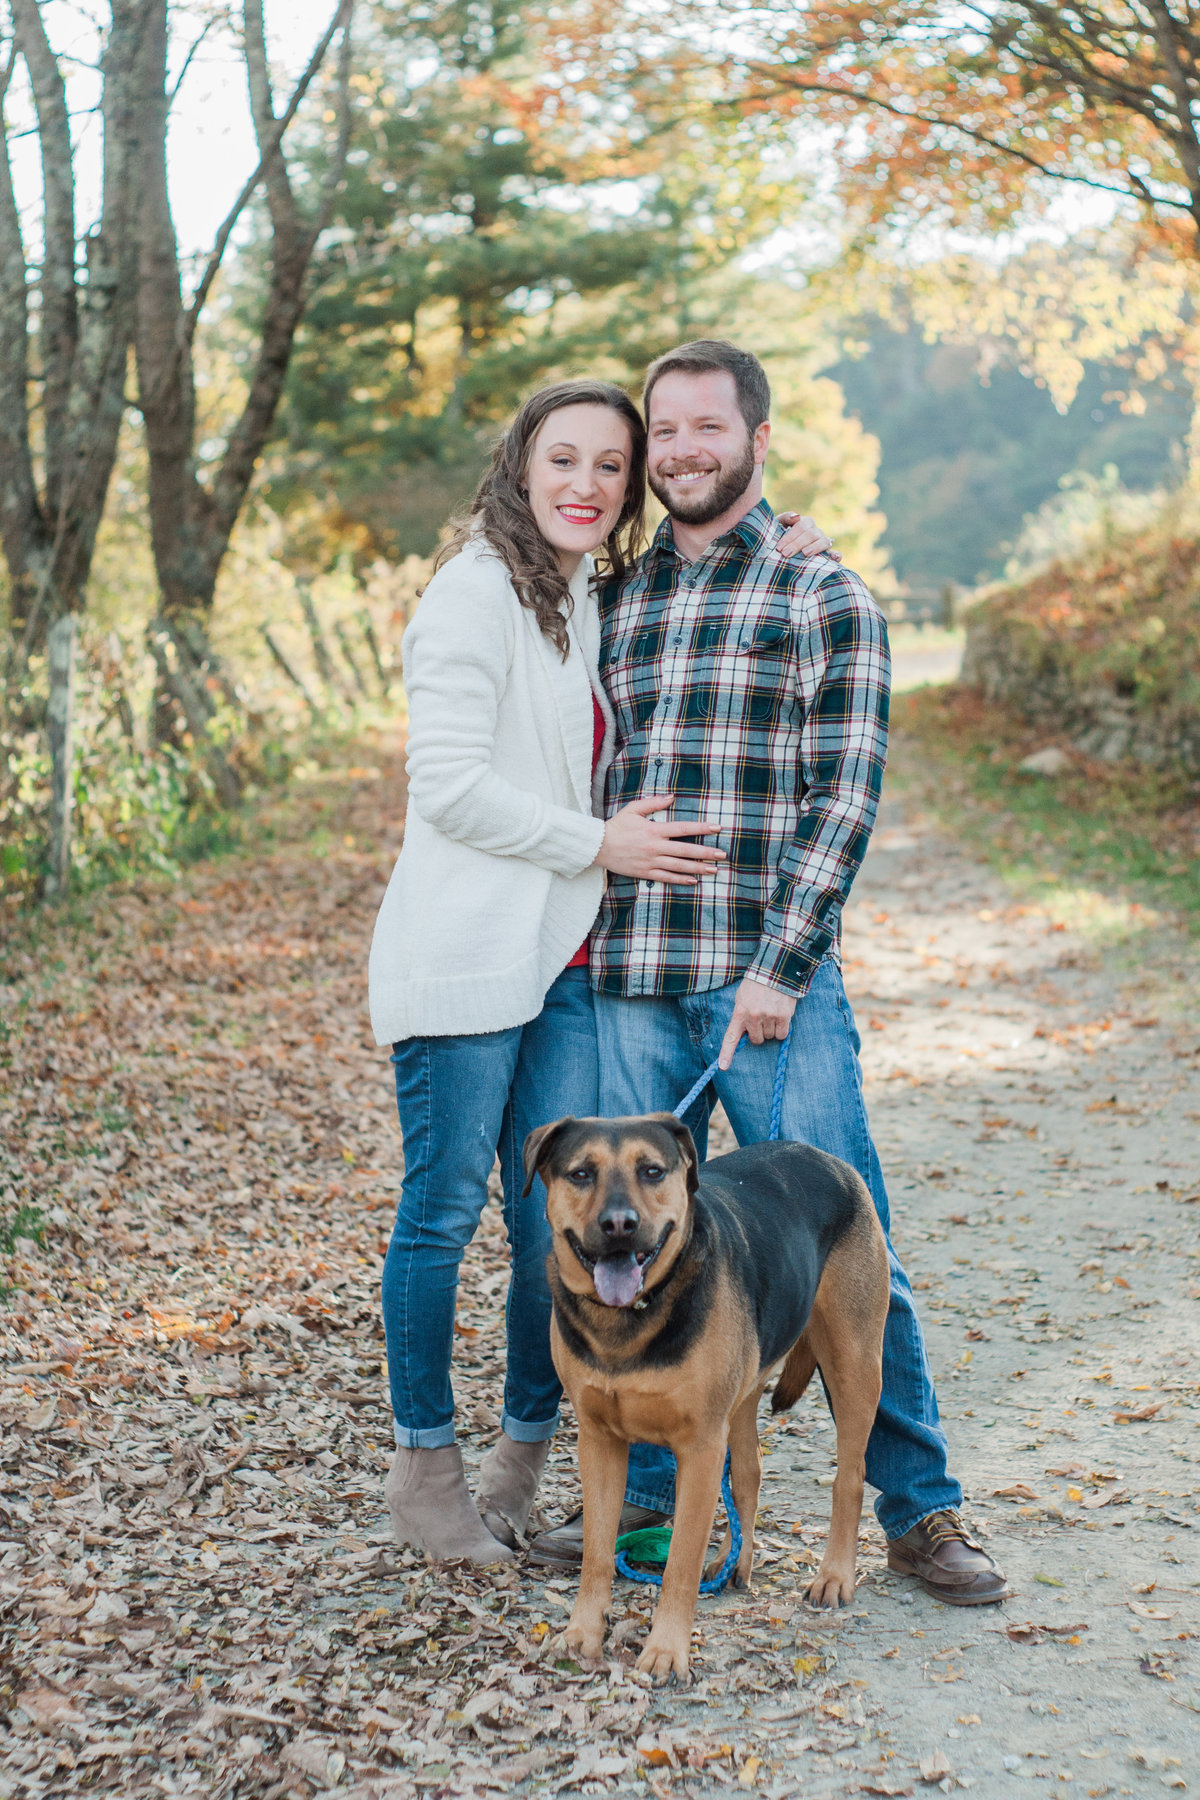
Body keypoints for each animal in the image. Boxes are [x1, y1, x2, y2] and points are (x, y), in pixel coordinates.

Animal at [525, 1116, 892, 1677]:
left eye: (652, 1171)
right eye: (581, 1173)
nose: (619, 1225)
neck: (631, 1317)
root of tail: (826, 1157)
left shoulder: (699, 1449)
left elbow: (680, 1560)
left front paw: (665, 1650)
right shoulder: (599, 1441)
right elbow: (596, 1552)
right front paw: (583, 1633)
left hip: (854, 1365)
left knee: (849, 1478)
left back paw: (834, 1575)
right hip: (744, 1393)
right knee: (749, 1473)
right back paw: (732, 1562)